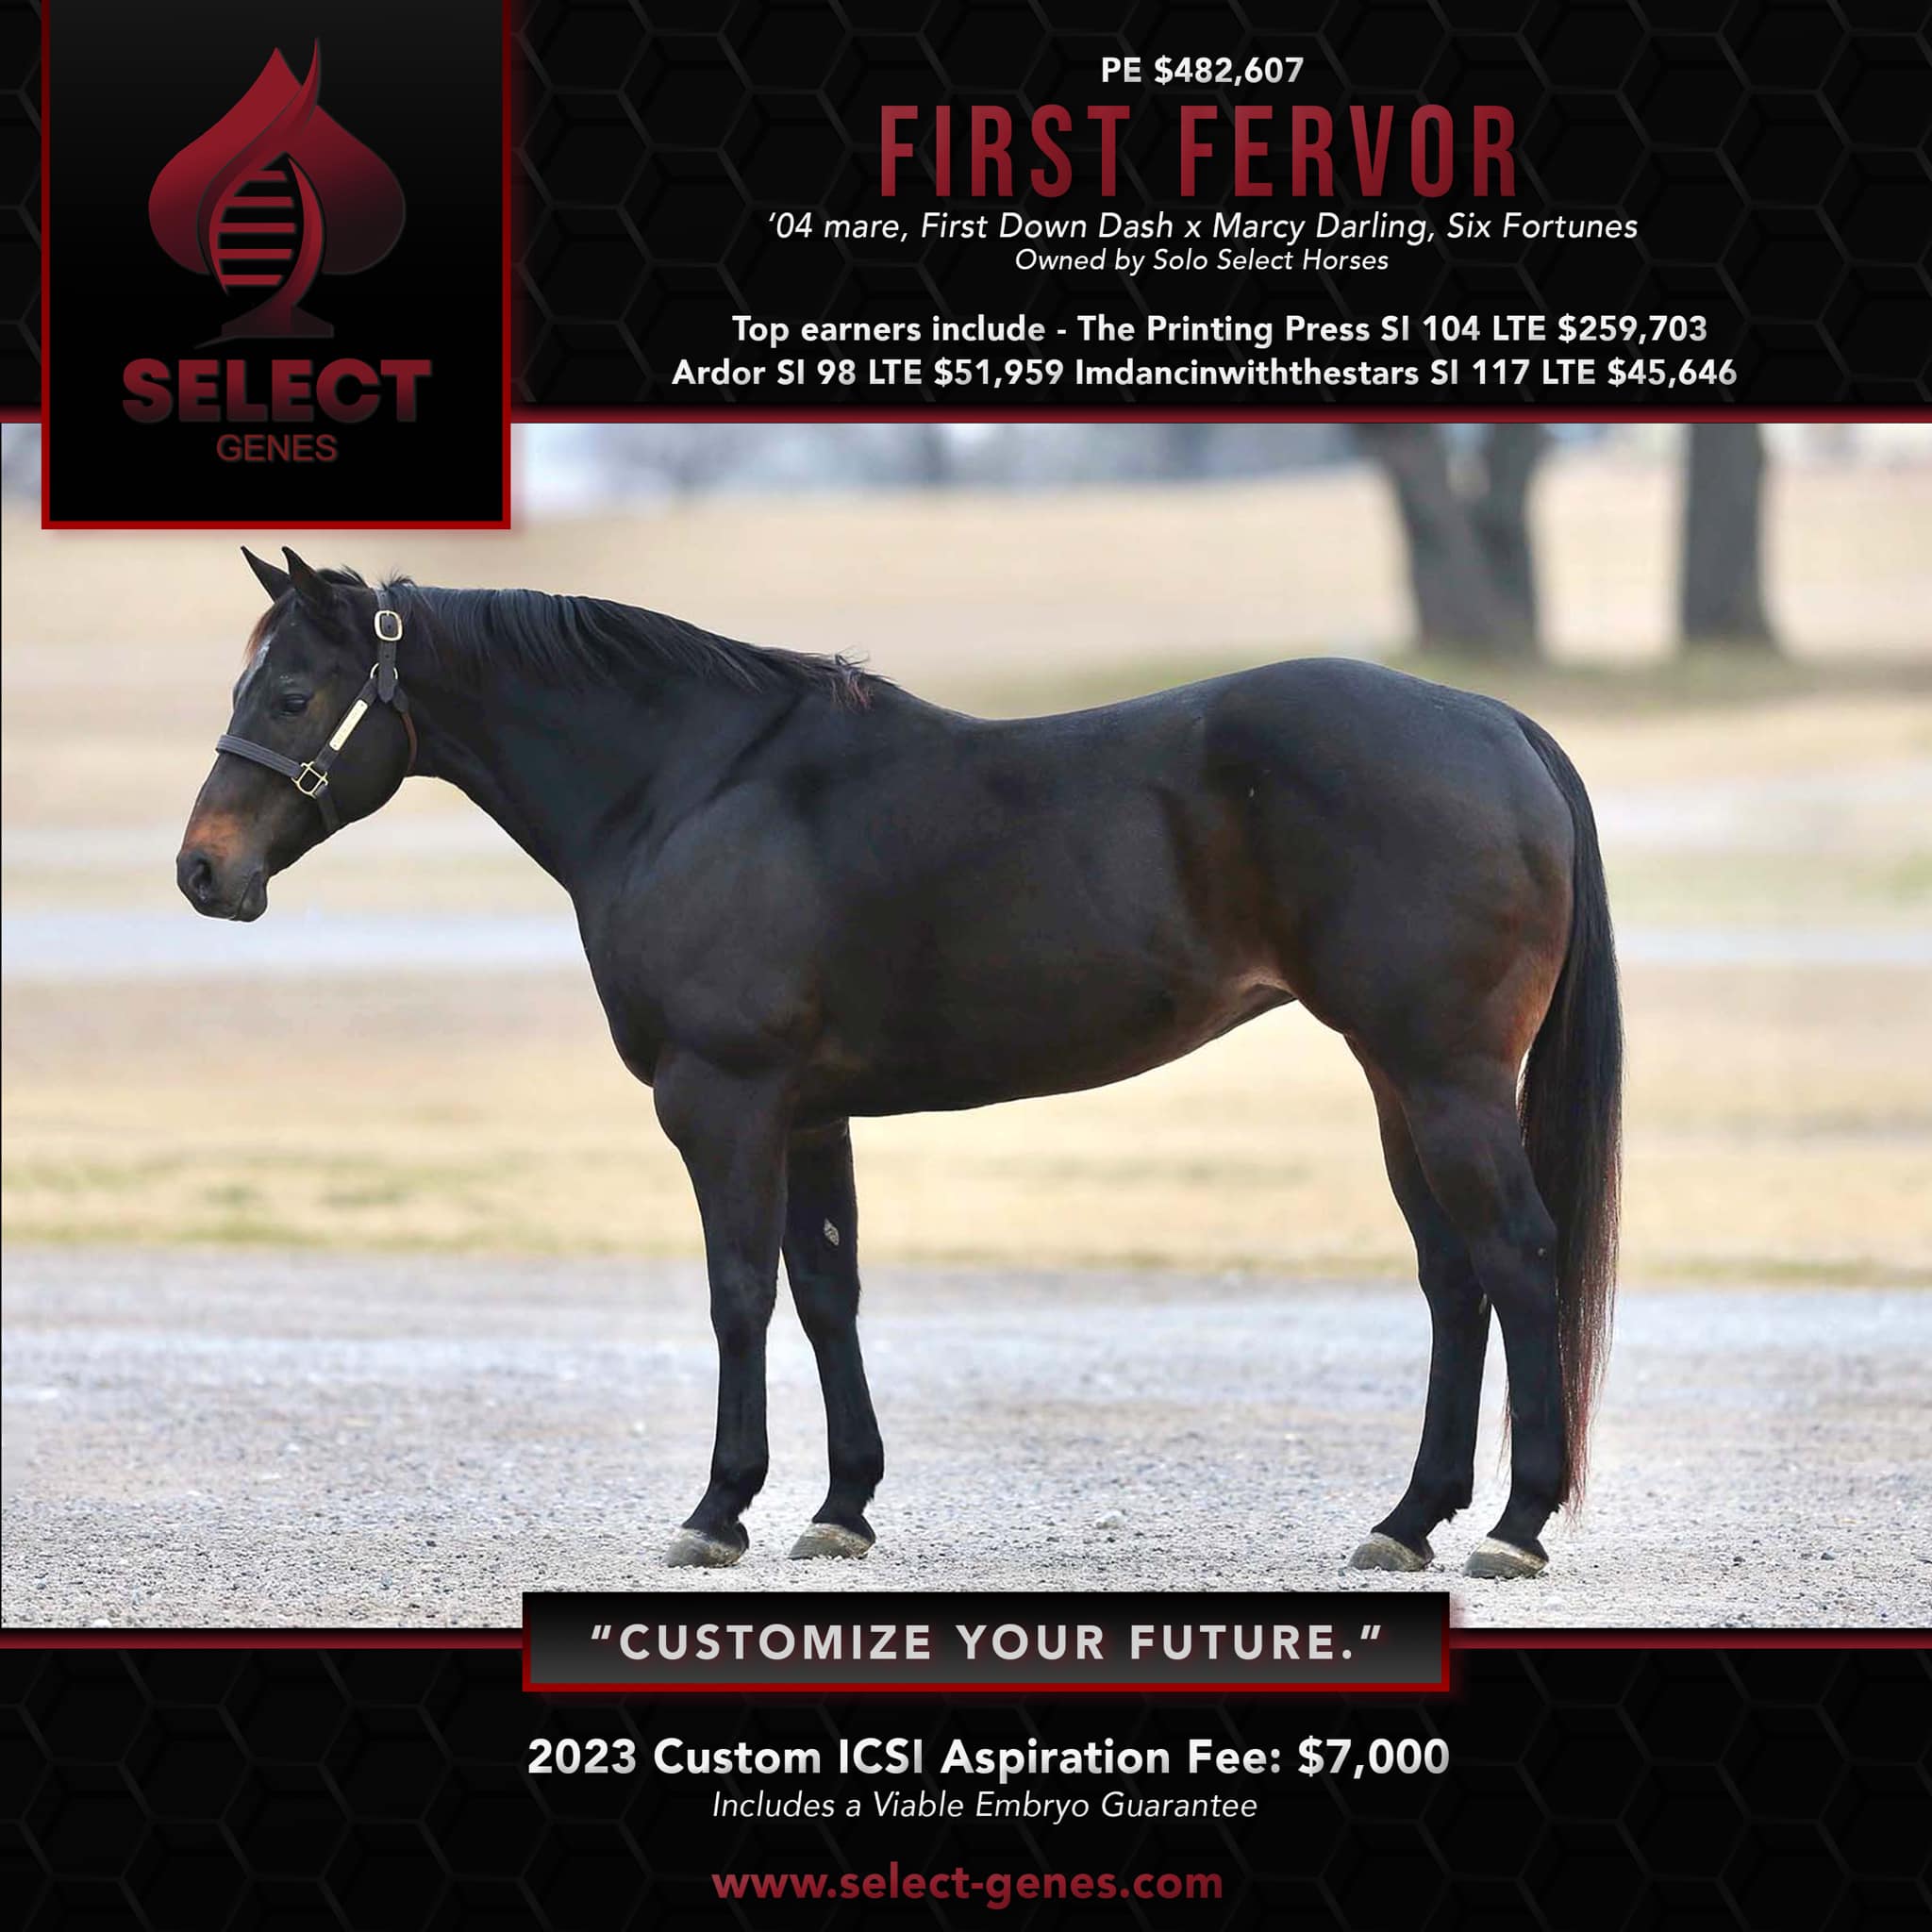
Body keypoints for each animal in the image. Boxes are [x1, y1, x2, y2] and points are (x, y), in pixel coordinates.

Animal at [177, 546, 1621, 1581]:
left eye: (292, 695)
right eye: (244, 692)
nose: (203, 871)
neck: (693, 788)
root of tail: (1496, 724)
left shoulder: (724, 1101)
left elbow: (740, 1296)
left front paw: (719, 1507)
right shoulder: (811, 1116)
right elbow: (829, 1291)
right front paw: (841, 1506)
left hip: (1444, 1079)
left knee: (1516, 1259)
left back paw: (1514, 1524)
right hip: (1397, 1081)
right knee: (1451, 1278)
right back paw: (1410, 1518)